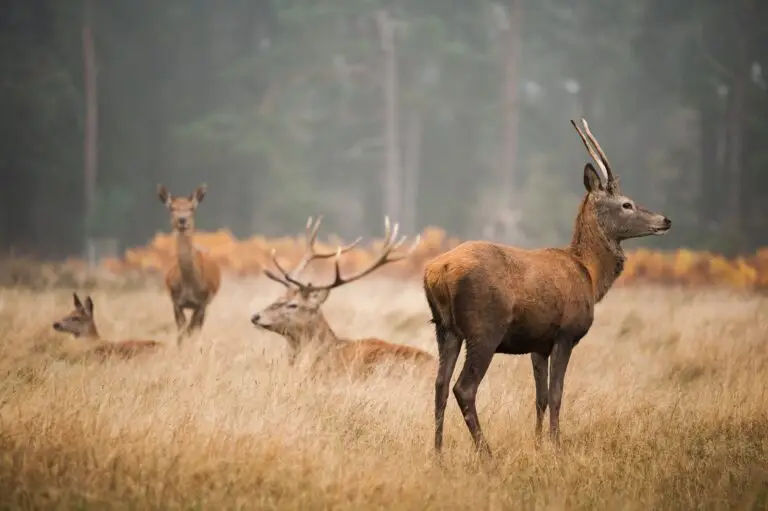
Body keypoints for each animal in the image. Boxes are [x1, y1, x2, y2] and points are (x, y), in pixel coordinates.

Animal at [157, 184, 222, 344]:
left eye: (191, 208)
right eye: (172, 207)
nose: (182, 220)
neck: (188, 284)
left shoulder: (203, 301)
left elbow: (191, 329)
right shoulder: (176, 301)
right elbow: (181, 332)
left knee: (197, 327)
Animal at [426, 117, 672, 456]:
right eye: (627, 204)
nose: (665, 220)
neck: (590, 274)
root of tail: (439, 271)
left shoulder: (538, 343)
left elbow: (539, 397)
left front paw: (538, 443)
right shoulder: (565, 333)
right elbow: (557, 394)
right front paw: (557, 446)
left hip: (445, 328)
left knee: (438, 384)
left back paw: (438, 453)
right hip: (484, 327)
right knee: (463, 387)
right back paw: (486, 453)